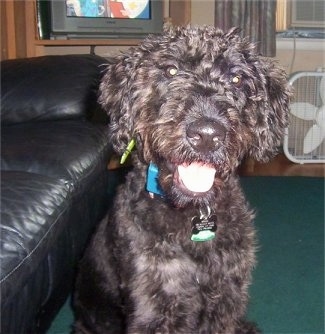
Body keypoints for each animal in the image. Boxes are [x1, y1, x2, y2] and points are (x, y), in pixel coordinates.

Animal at [73, 26, 288, 334]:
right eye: (171, 70)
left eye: (236, 79)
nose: (207, 135)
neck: (192, 213)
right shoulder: (157, 301)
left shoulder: (226, 295)